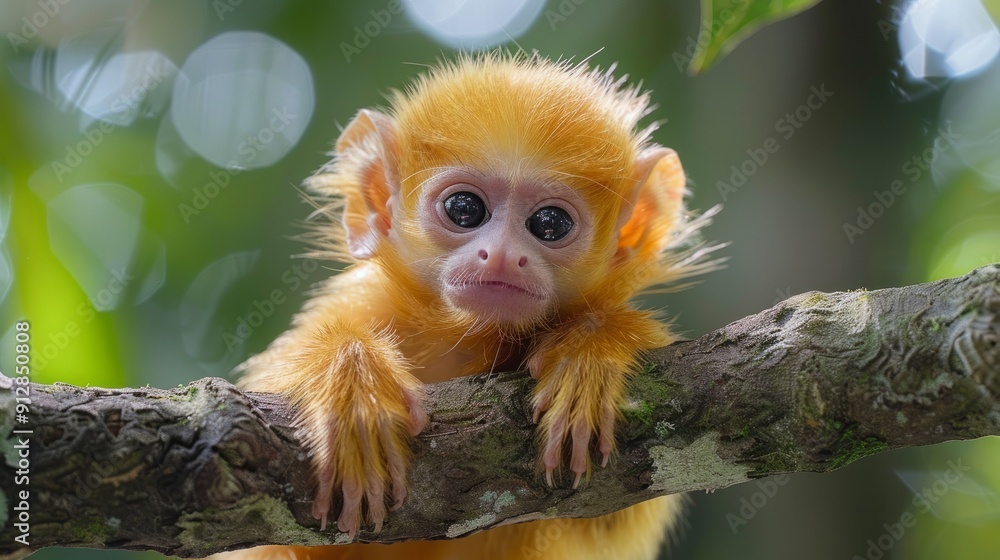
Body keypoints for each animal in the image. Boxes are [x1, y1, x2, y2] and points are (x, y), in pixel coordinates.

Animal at [214, 52, 718, 560]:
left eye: (550, 223)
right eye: (464, 209)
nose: (502, 256)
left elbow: (618, 514)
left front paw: (593, 351)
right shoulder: (364, 303)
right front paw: (353, 382)